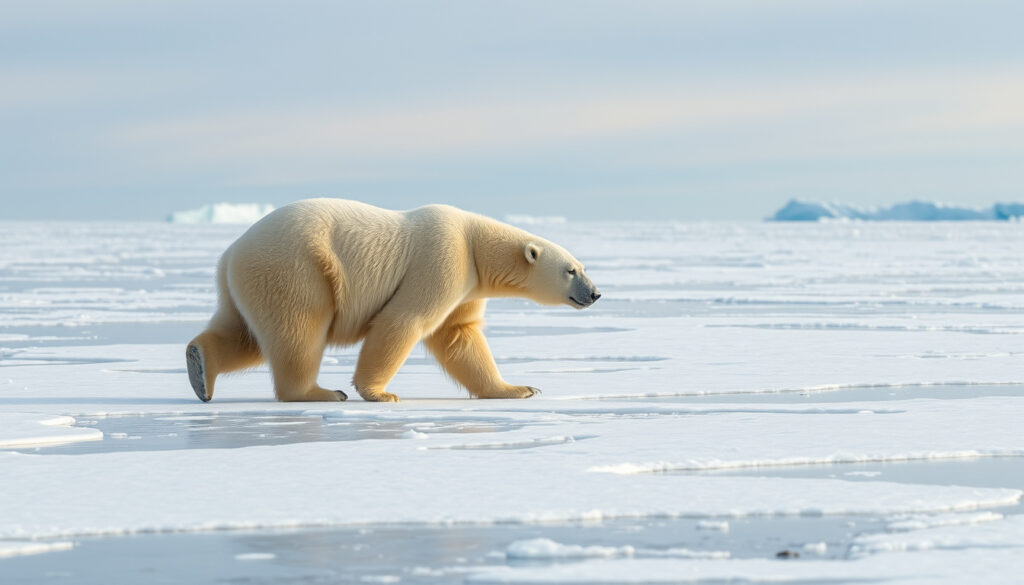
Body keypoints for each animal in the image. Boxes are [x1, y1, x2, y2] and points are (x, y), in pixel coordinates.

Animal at [185, 198, 601, 403]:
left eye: (582, 266)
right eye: (571, 270)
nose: (596, 293)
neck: (475, 243)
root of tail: (229, 254)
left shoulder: (467, 285)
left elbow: (460, 334)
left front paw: (519, 389)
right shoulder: (444, 258)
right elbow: (406, 320)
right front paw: (379, 393)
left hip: (251, 282)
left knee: (245, 334)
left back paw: (199, 366)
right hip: (296, 269)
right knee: (299, 329)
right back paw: (321, 393)